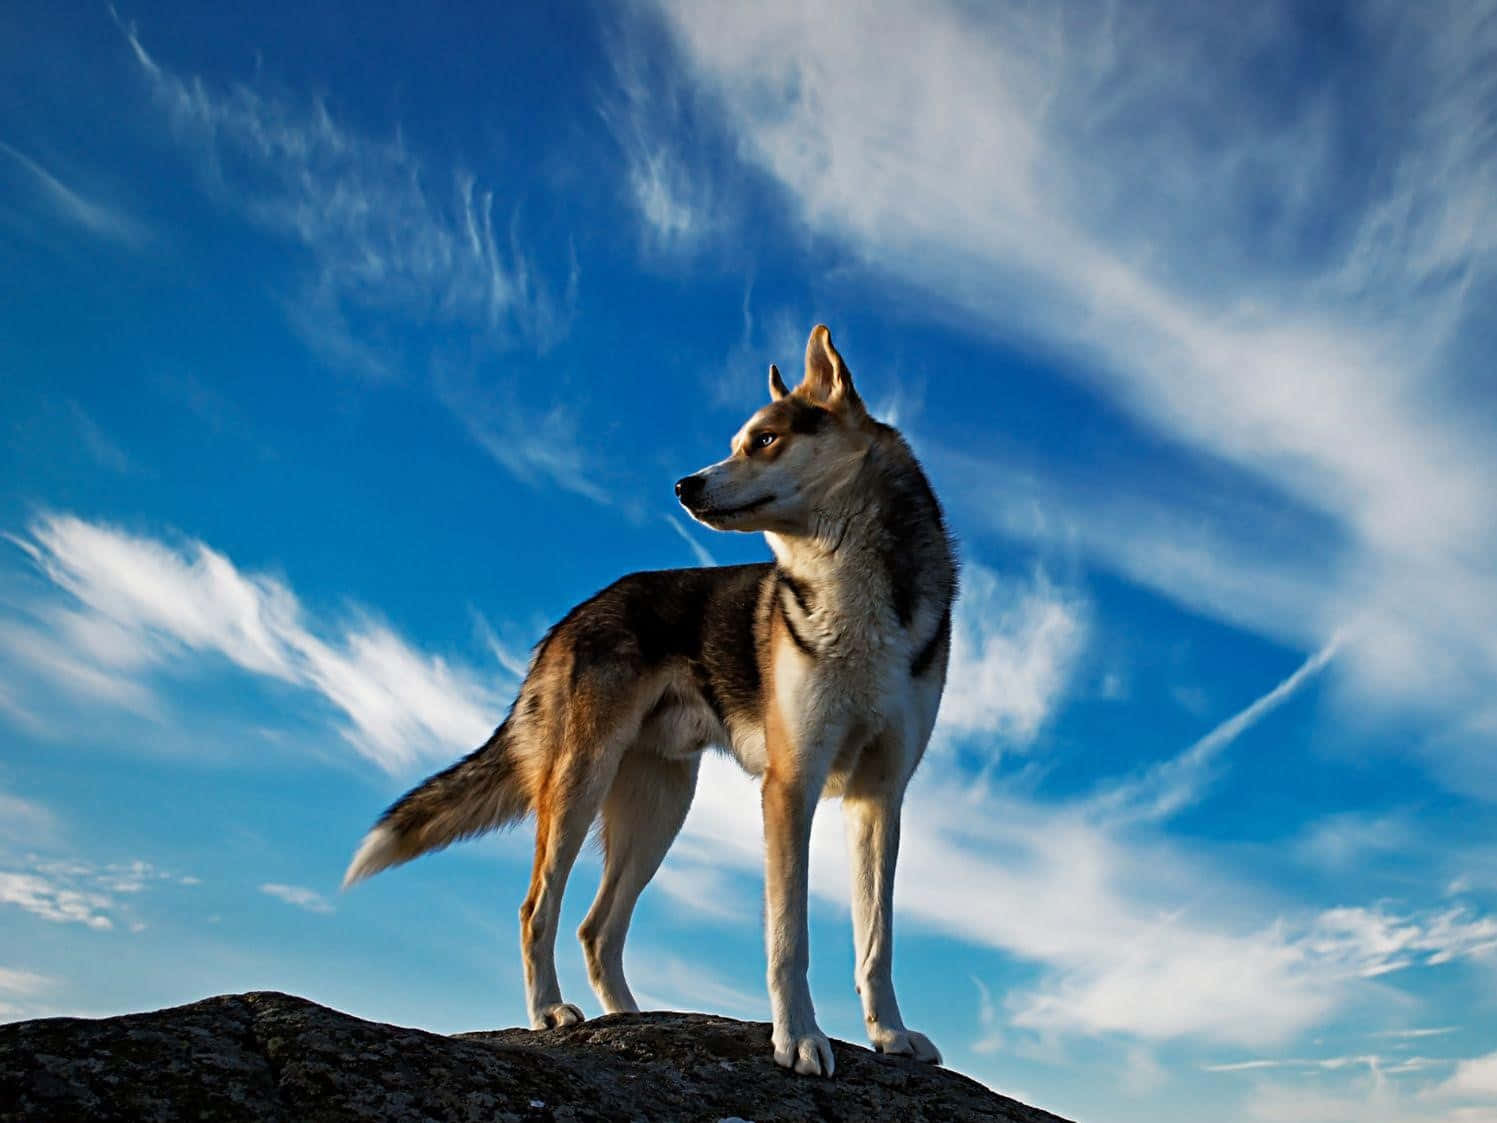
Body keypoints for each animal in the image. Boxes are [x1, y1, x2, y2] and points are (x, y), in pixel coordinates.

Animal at [343, 325, 957, 1076]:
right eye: (739, 440)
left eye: (765, 439)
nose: (683, 484)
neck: (851, 595)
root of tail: (574, 616)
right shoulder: (791, 787)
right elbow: (790, 938)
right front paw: (799, 1038)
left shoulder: (878, 797)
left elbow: (877, 940)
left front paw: (889, 1035)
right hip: (580, 786)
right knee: (537, 910)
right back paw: (549, 1012)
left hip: (659, 807)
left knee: (596, 927)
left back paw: (630, 1019)